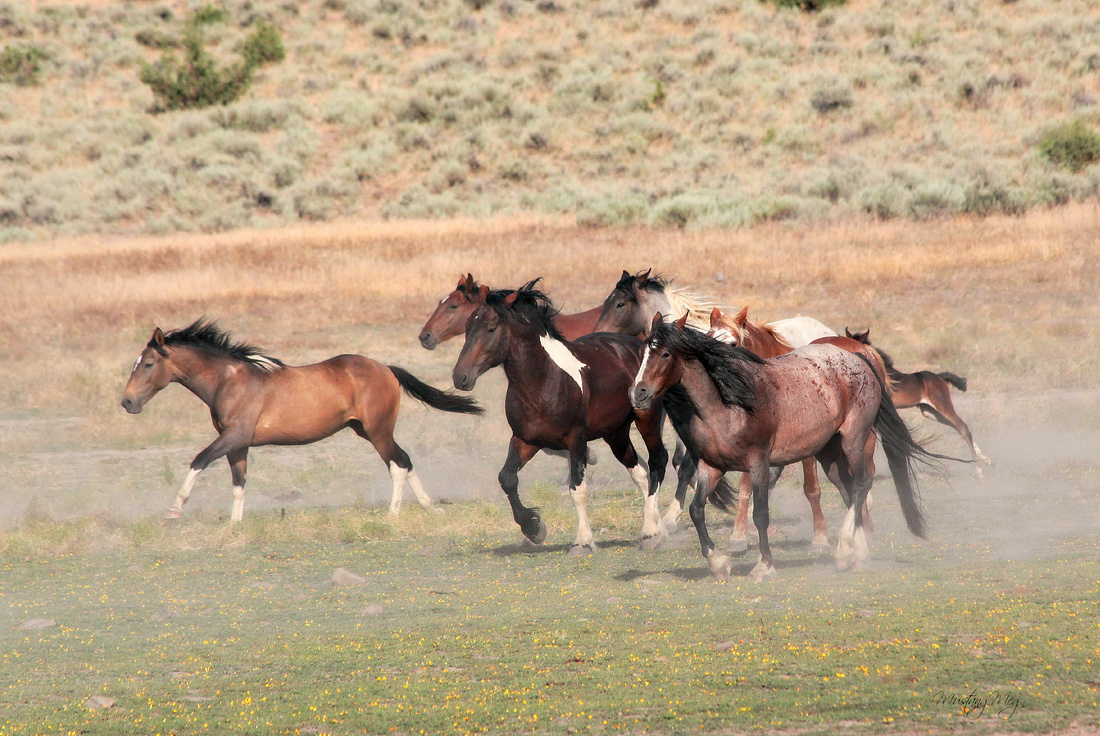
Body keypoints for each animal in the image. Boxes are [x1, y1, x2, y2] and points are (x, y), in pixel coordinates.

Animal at [120, 319, 481, 519]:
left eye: (148, 364)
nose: (127, 402)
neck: (229, 380)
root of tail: (386, 368)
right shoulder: (238, 444)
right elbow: (239, 483)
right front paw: (234, 525)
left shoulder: (235, 436)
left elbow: (199, 460)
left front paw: (174, 508)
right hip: (365, 430)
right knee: (405, 459)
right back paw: (430, 506)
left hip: (378, 431)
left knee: (398, 464)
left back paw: (394, 514)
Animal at [451, 281, 699, 550]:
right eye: (467, 326)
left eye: (491, 328)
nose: (460, 376)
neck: (543, 382)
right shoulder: (525, 439)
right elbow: (507, 478)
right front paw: (534, 528)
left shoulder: (576, 440)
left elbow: (578, 489)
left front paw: (582, 542)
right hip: (616, 434)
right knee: (640, 473)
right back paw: (656, 527)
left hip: (647, 420)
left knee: (657, 462)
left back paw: (652, 531)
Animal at [629, 312, 937, 580]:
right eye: (643, 353)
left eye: (665, 354)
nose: (638, 393)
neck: (728, 405)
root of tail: (859, 355)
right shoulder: (711, 467)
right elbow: (697, 510)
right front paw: (718, 564)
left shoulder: (759, 463)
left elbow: (761, 514)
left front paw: (764, 567)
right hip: (828, 454)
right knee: (849, 490)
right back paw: (857, 553)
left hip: (854, 440)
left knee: (862, 483)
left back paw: (843, 548)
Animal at [840, 327, 998, 477]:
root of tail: (940, 377)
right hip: (930, 412)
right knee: (958, 427)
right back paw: (987, 461)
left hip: (942, 405)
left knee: (963, 427)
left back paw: (979, 470)